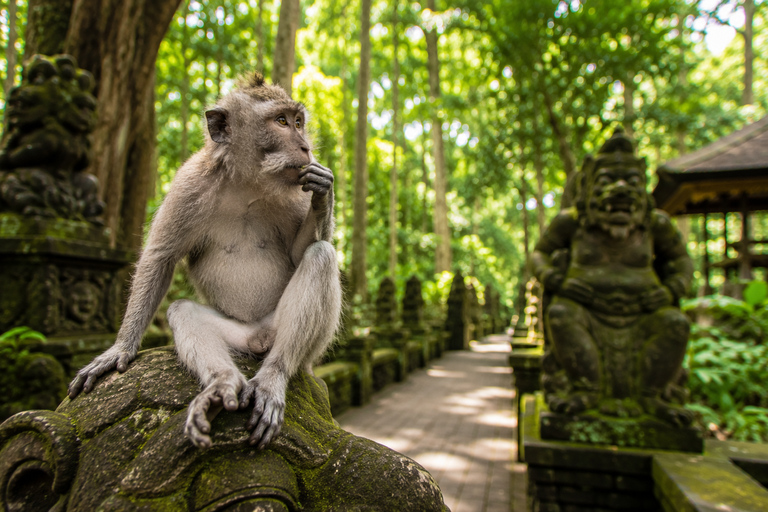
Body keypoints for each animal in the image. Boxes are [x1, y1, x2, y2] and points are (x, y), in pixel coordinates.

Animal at [68, 73, 342, 450]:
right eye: (282, 122)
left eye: (299, 122)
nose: (305, 147)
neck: (247, 183)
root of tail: (257, 339)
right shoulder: (189, 184)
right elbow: (160, 257)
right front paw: (119, 349)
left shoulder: (292, 192)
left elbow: (300, 252)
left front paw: (323, 189)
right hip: (237, 337)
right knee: (183, 310)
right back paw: (222, 384)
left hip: (296, 344)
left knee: (320, 258)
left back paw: (273, 377)